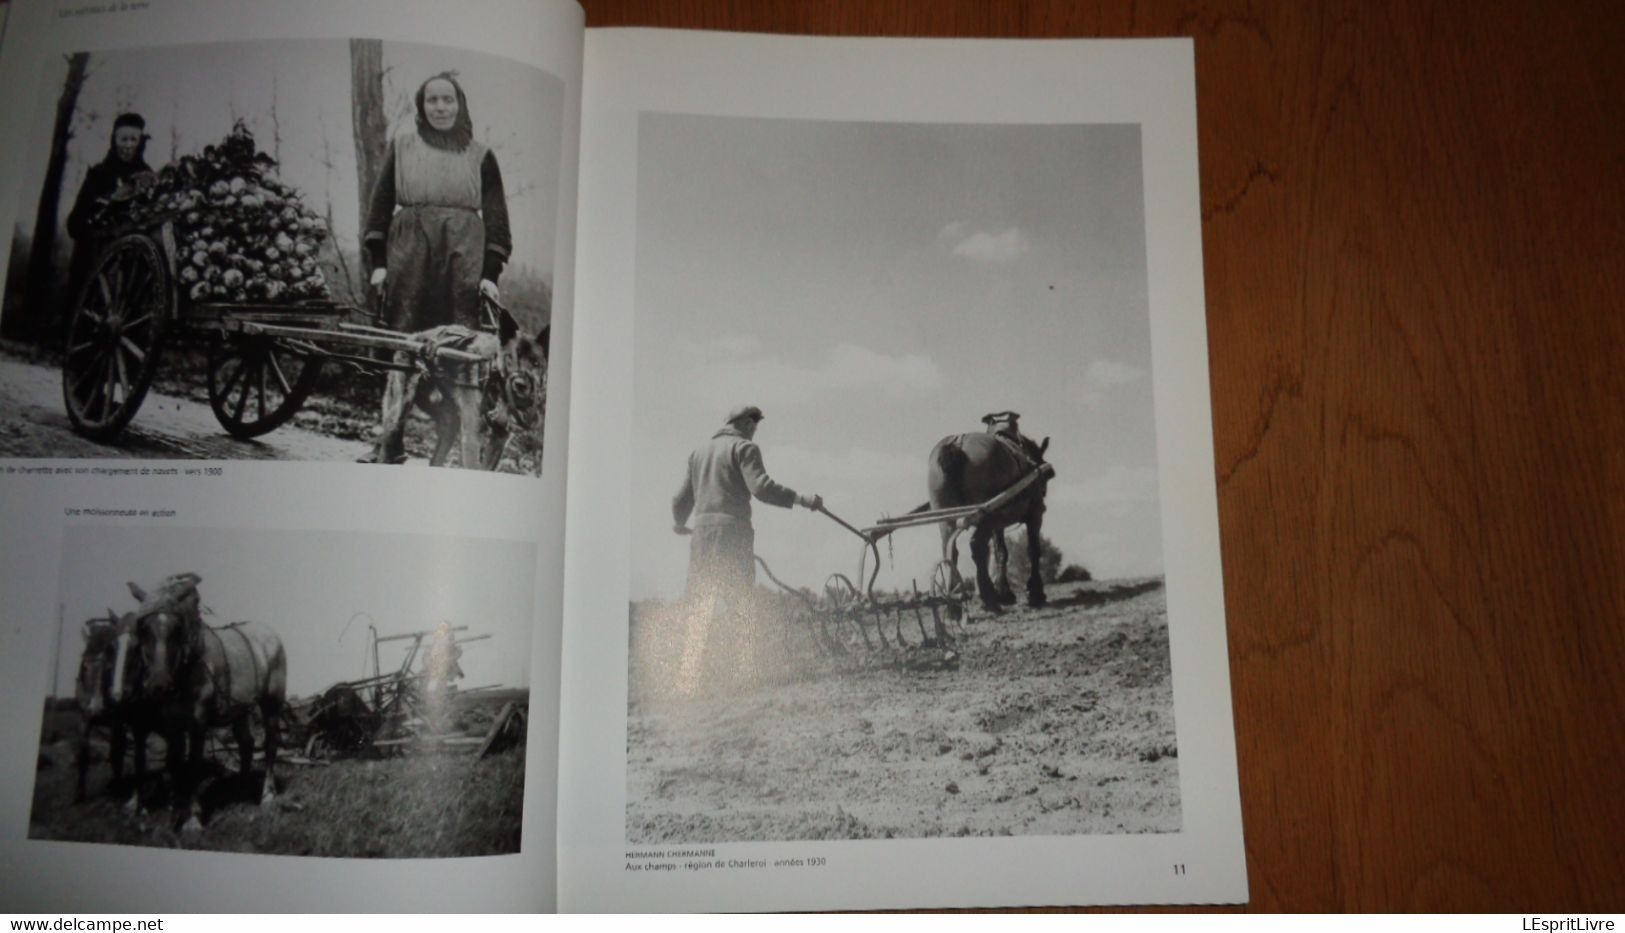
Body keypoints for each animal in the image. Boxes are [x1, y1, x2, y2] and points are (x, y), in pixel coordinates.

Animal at [111, 575, 287, 838]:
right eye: (144, 629)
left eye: (177, 628)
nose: (159, 685)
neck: (187, 666)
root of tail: (271, 634)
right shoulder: (171, 725)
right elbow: (175, 764)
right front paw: (175, 811)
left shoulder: (198, 724)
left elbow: (193, 765)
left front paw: (192, 818)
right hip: (240, 709)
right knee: (246, 743)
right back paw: (240, 786)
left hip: (271, 704)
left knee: (271, 744)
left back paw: (266, 795)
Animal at [929, 414, 1053, 617]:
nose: (1044, 490)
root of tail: (957, 443)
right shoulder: (1035, 515)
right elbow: (1034, 550)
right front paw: (1035, 593)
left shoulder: (998, 523)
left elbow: (1001, 552)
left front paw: (1004, 593)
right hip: (984, 514)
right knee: (976, 546)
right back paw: (988, 600)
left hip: (947, 518)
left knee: (951, 550)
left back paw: (955, 604)